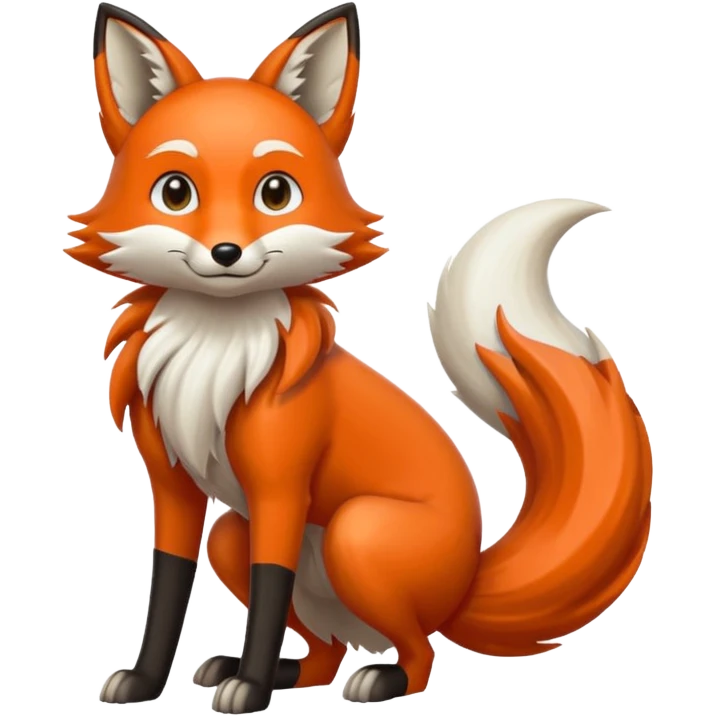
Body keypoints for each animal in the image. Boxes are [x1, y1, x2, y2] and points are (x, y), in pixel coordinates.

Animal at [68, 3, 653, 714]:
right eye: (175, 192)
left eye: (275, 192)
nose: (227, 253)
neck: (217, 344)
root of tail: (467, 577)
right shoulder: (175, 486)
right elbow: (167, 589)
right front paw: (149, 681)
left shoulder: (281, 487)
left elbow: (267, 591)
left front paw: (251, 689)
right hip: (235, 535)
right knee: (325, 651)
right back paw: (275, 672)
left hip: (356, 533)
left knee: (419, 651)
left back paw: (374, 679)